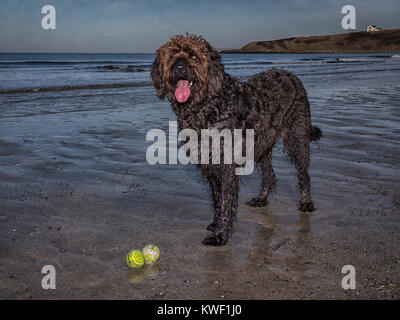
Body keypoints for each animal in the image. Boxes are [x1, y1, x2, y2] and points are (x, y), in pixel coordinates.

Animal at [150, 34, 322, 245]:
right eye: (173, 55)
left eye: (195, 56)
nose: (180, 66)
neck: (207, 105)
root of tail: (291, 75)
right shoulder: (210, 165)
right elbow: (217, 199)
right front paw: (216, 224)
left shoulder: (226, 166)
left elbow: (226, 201)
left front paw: (221, 235)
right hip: (262, 144)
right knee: (270, 175)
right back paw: (261, 199)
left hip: (296, 136)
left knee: (303, 173)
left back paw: (306, 202)